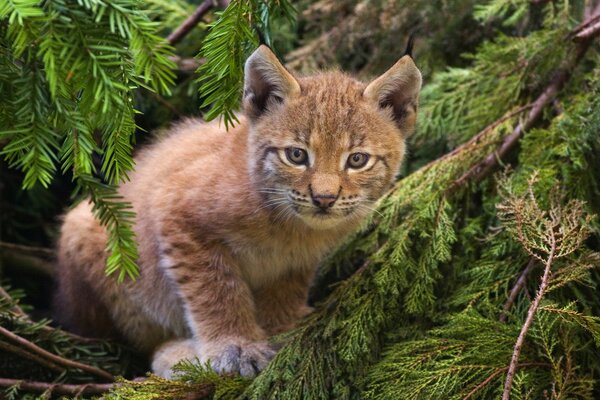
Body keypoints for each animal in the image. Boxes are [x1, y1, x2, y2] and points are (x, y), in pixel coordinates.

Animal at [56, 45, 422, 376]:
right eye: (296, 155)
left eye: (357, 160)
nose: (324, 198)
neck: (290, 224)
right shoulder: (176, 211)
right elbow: (216, 290)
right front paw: (235, 347)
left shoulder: (295, 262)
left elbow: (284, 291)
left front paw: (281, 330)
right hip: (95, 237)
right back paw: (177, 356)